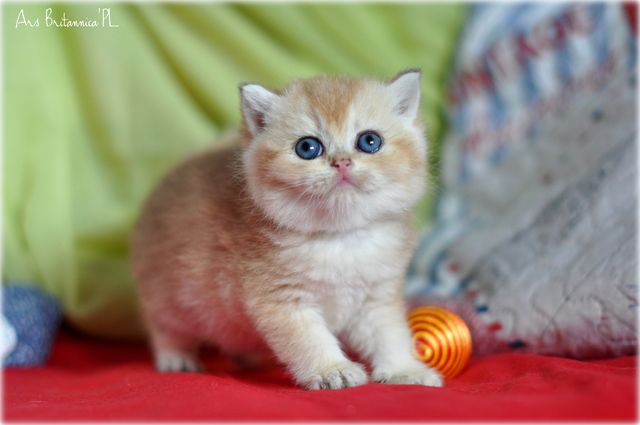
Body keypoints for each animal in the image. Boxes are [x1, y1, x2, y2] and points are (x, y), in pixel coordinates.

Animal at [131, 69, 443, 390]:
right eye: (307, 148)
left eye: (370, 141)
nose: (342, 162)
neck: (338, 238)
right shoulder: (283, 301)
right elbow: (310, 340)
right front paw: (332, 370)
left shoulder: (377, 299)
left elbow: (390, 335)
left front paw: (404, 369)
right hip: (168, 294)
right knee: (166, 329)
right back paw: (176, 358)